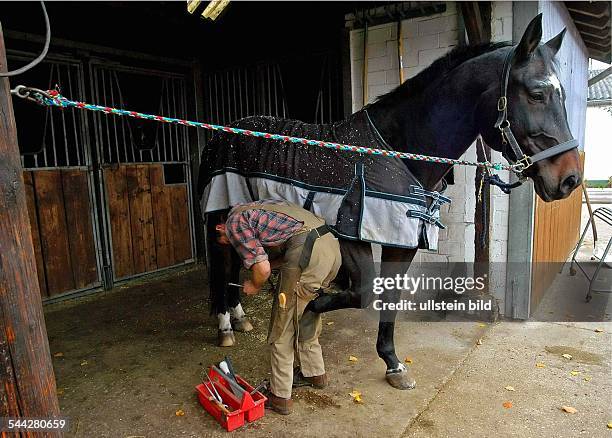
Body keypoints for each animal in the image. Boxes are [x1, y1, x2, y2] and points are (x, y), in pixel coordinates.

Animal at [198, 14, 580, 390]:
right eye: (537, 93)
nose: (570, 179)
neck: (395, 152)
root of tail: (223, 133)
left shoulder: (403, 241)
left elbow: (390, 295)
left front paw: (393, 363)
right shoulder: (351, 236)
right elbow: (364, 292)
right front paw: (306, 320)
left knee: (235, 265)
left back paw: (240, 319)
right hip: (220, 216)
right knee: (222, 267)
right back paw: (226, 326)